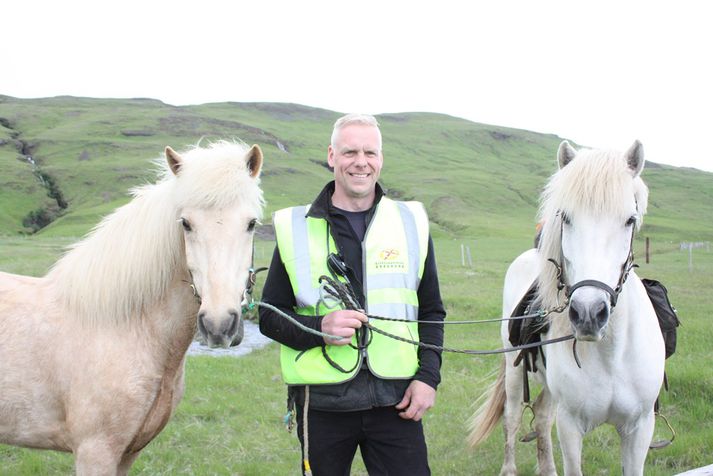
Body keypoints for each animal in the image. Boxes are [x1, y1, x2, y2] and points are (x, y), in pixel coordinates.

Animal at [0, 141, 264, 476]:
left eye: (251, 224)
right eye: (186, 224)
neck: (125, 326)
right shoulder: (95, 452)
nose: (219, 325)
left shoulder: (127, 454)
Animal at [470, 141, 664, 476]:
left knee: (542, 416)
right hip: (514, 369)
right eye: (567, 218)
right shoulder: (571, 426)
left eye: (630, 219)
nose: (588, 313)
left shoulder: (639, 429)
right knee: (512, 418)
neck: (611, 355)